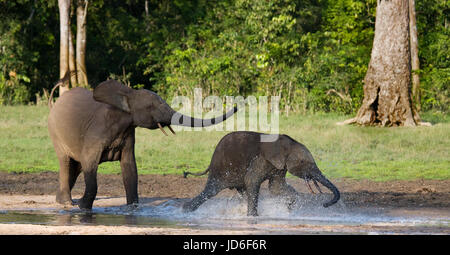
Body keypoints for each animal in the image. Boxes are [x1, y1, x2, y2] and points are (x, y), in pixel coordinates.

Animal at [48, 80, 239, 209]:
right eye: (153, 106)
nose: (237, 106)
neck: (127, 94)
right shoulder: (95, 133)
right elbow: (90, 164)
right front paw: (83, 207)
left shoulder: (128, 134)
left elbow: (130, 168)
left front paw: (132, 208)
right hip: (55, 132)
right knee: (66, 162)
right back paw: (68, 202)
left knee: (75, 166)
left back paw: (61, 200)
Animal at [181, 130, 340, 216]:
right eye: (302, 162)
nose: (325, 204)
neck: (286, 143)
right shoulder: (260, 159)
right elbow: (252, 181)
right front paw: (253, 217)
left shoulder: (279, 166)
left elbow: (276, 187)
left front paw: (288, 208)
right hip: (221, 169)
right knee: (211, 191)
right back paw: (186, 210)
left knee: (242, 190)